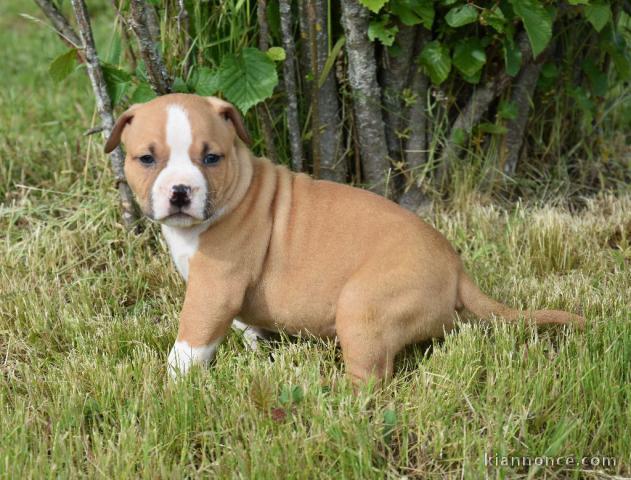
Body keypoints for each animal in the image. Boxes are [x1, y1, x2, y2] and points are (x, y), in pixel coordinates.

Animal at [105, 94, 588, 382]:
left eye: (211, 158)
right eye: (146, 158)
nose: (180, 191)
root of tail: (456, 268)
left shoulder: (214, 288)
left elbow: (191, 339)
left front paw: (171, 384)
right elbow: (243, 324)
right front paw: (257, 343)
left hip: (362, 305)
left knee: (371, 381)